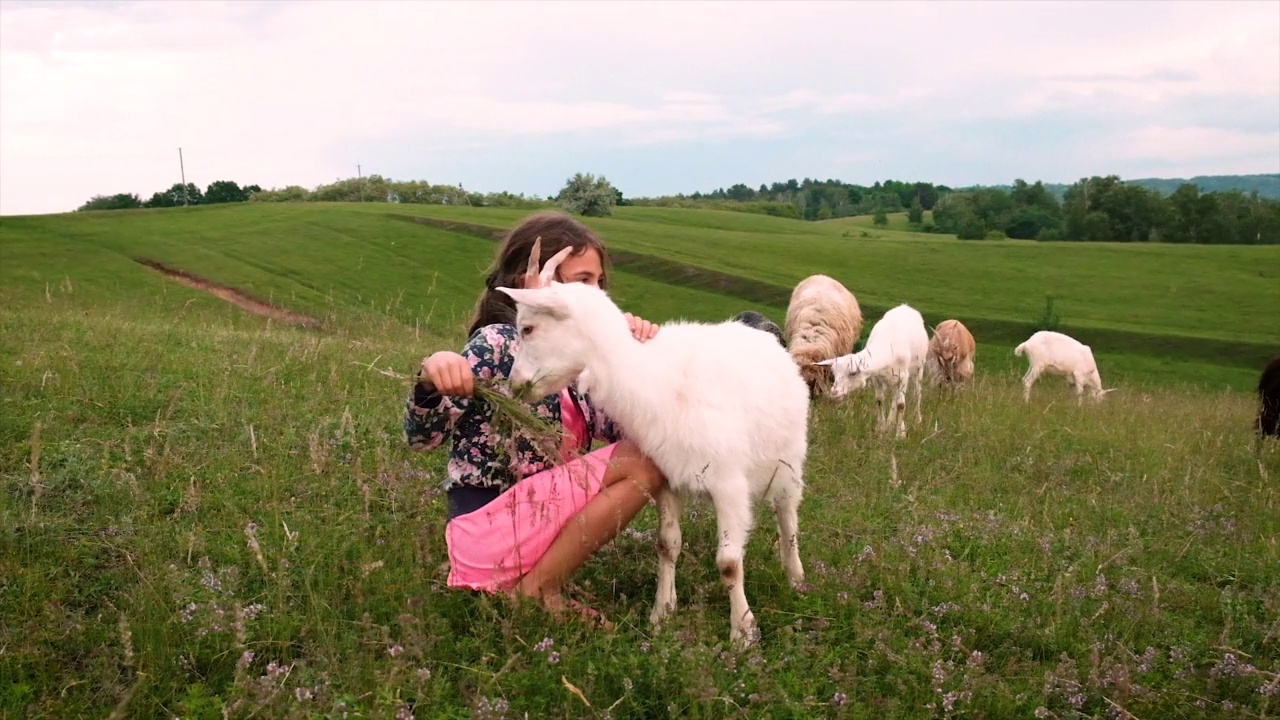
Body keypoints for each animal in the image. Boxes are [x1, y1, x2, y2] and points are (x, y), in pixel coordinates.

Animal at [494, 248, 803, 645]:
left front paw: (743, 633)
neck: (651, 379)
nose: (515, 385)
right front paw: (661, 614)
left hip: (789, 459)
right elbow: (667, 544)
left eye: (528, 328)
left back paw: (796, 578)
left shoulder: (729, 484)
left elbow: (729, 564)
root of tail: (761, 328)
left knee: (788, 516)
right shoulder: (667, 479)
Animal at [819, 299, 931, 435]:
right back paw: (889, 422)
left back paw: (917, 419)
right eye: (834, 373)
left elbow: (901, 405)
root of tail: (905, 306)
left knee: (917, 393)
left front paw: (901, 433)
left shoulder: (904, 376)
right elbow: (879, 401)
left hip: (919, 368)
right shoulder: (877, 378)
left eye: (853, 373)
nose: (834, 393)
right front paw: (881, 428)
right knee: (895, 397)